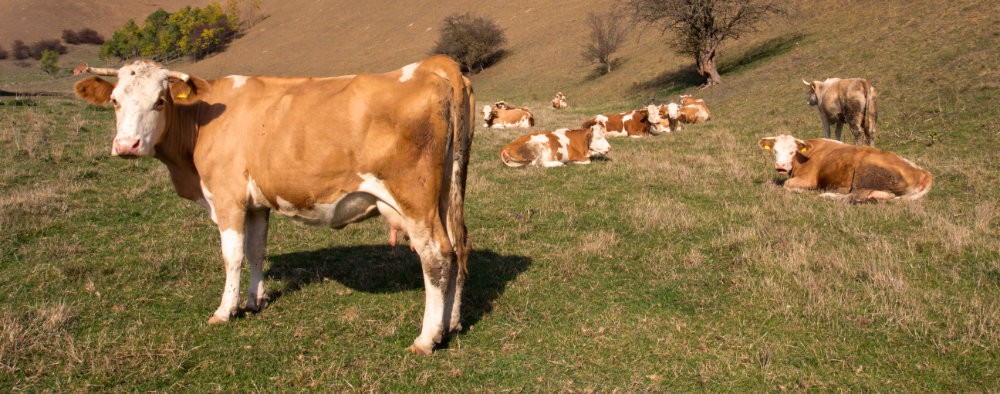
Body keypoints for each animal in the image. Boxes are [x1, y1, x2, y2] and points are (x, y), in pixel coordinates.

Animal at [73, 56, 472, 358]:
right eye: (115, 101)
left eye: (159, 100)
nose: (126, 145)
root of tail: (432, 65)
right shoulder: (256, 204)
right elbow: (256, 250)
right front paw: (255, 300)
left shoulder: (228, 197)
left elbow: (232, 255)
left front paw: (225, 311)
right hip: (448, 195)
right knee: (458, 249)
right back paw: (450, 324)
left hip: (414, 199)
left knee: (436, 257)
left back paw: (426, 338)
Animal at [760, 135, 932, 203]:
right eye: (775, 150)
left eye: (792, 151)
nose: (781, 166)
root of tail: (922, 171)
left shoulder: (808, 179)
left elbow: (786, 185)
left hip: (864, 171)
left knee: (856, 196)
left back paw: (826, 195)